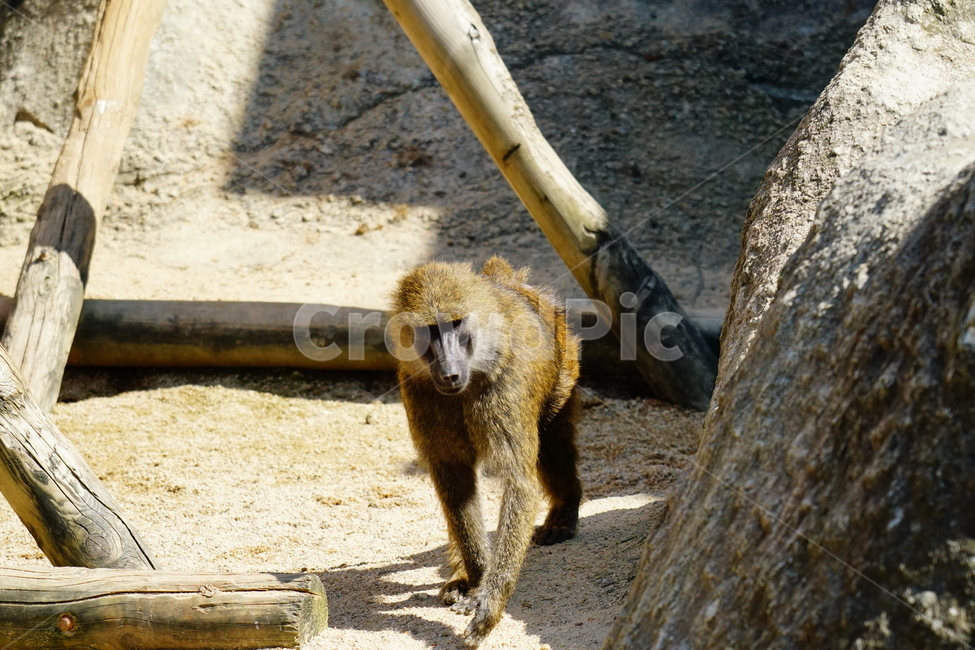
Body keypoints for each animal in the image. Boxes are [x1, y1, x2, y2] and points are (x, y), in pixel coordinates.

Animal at [389, 256, 582, 647]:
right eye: (430, 331)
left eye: (455, 324)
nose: (449, 373)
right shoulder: (420, 391)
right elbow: (453, 481)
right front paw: (477, 579)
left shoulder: (504, 388)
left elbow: (519, 483)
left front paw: (488, 606)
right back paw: (460, 574)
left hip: (564, 365)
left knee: (552, 442)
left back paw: (565, 512)